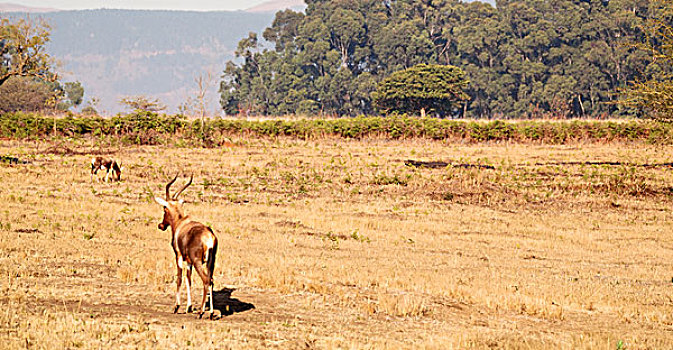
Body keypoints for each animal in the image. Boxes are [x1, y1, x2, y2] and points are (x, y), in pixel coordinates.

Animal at [154, 175, 218, 320]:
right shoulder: (188, 261)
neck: (180, 223)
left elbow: (179, 277)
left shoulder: (178, 256)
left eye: (164, 208)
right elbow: (189, 279)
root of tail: (208, 236)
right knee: (211, 280)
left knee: (206, 280)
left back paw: (201, 313)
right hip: (210, 263)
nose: (161, 225)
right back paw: (211, 313)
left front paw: (176, 307)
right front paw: (189, 307)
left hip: (198, 261)